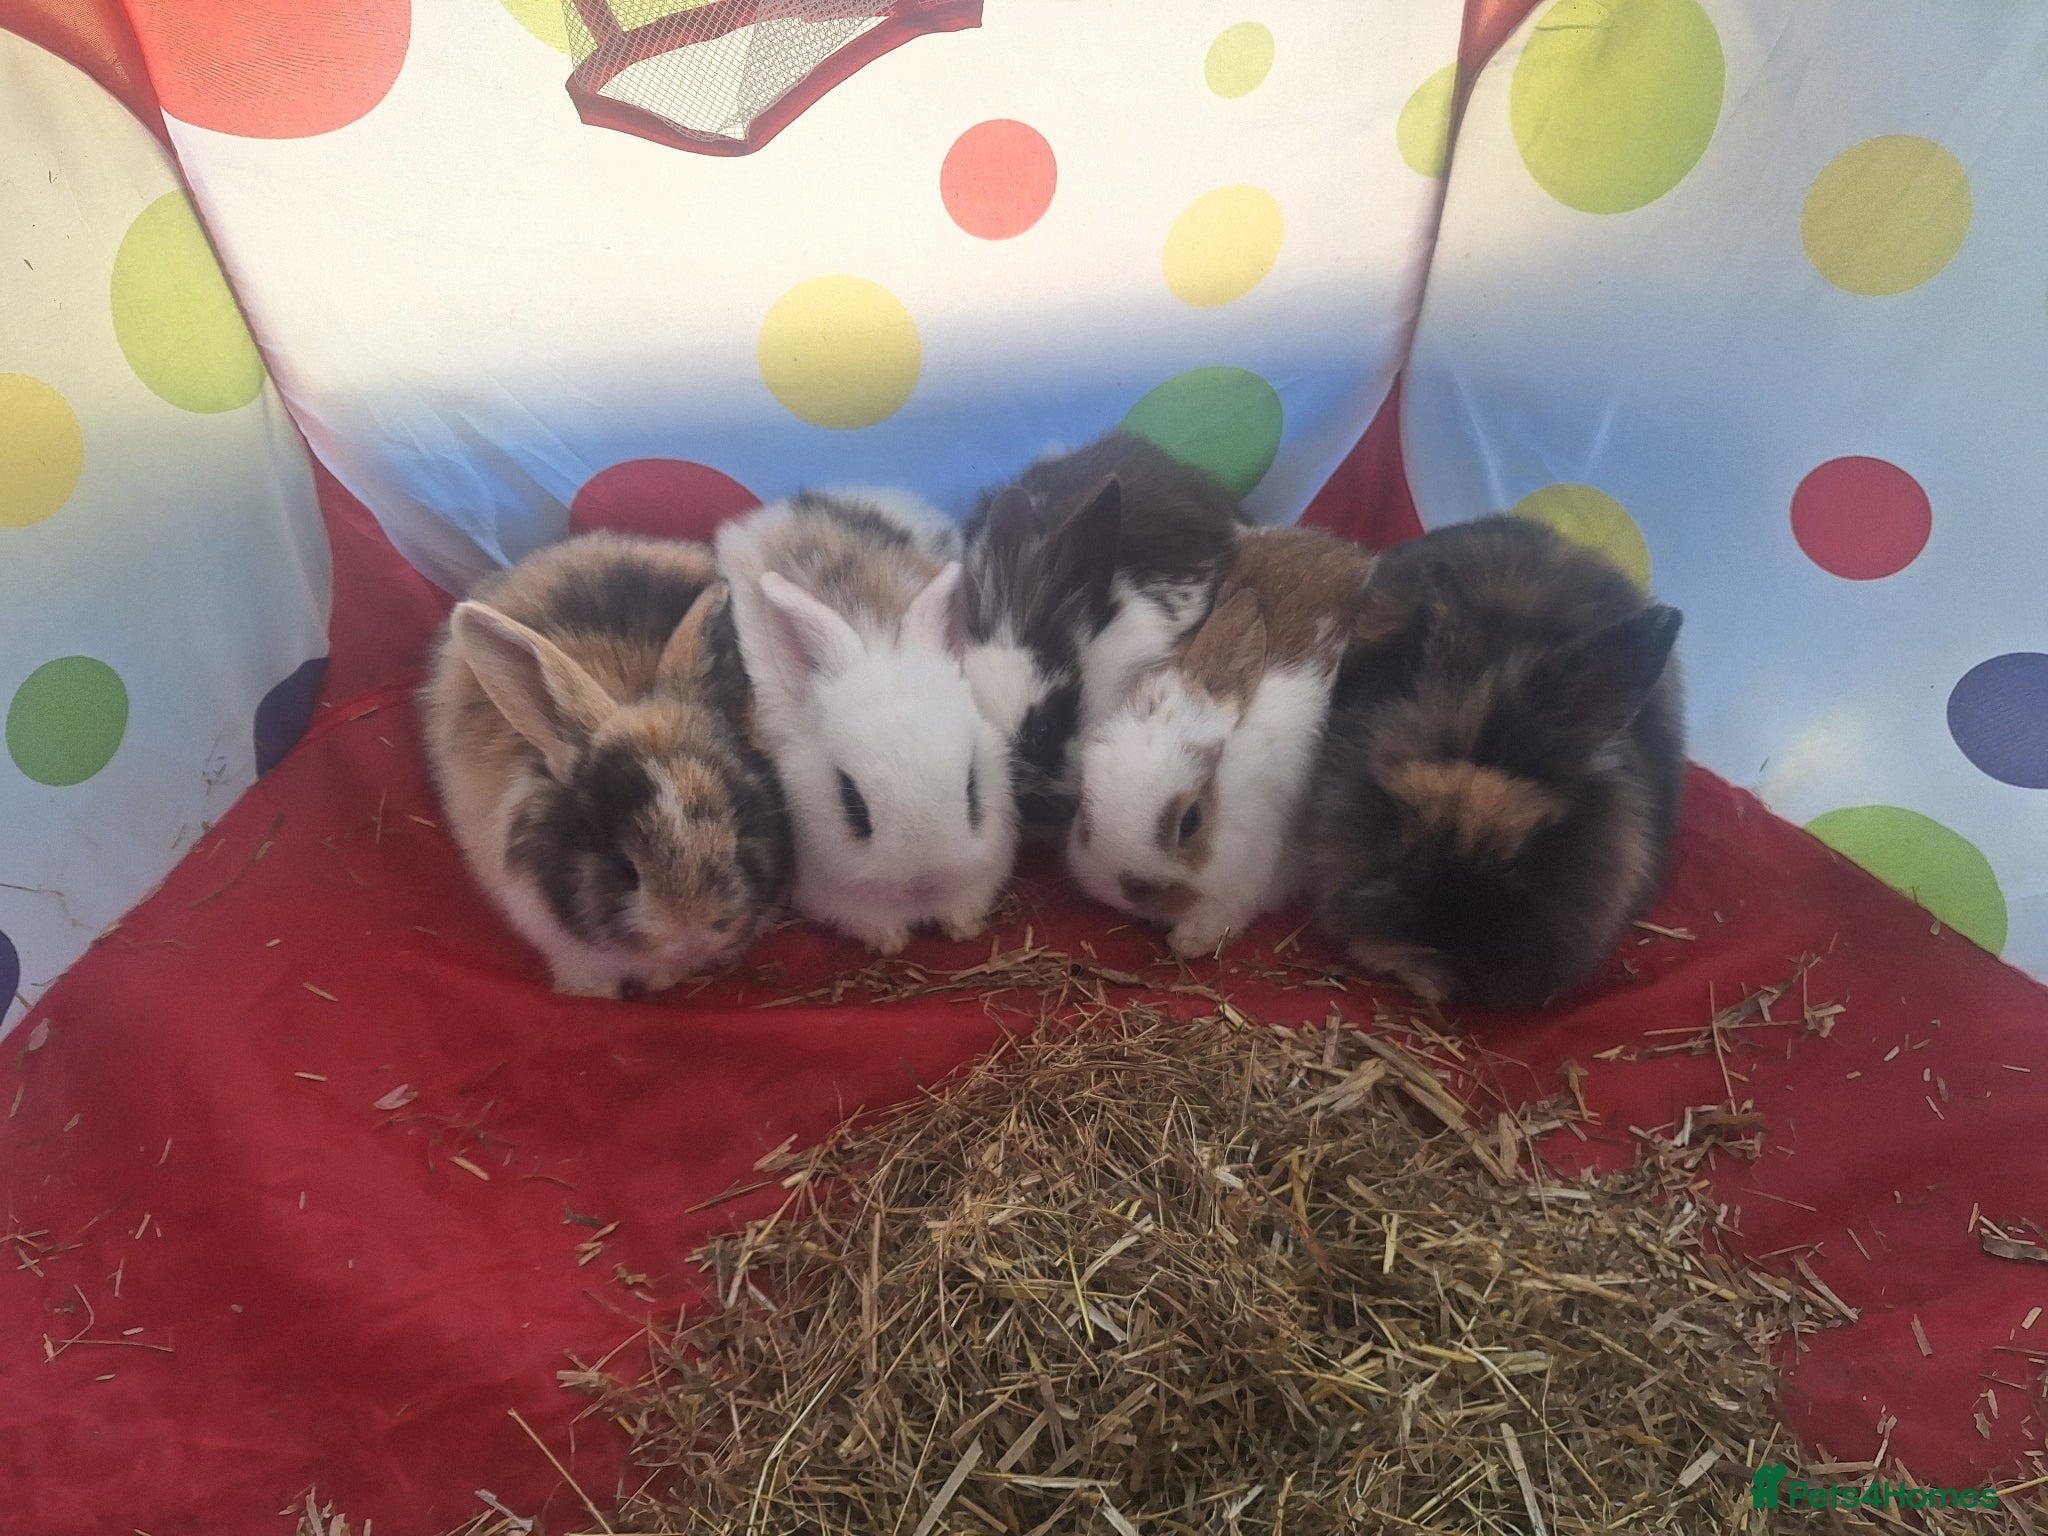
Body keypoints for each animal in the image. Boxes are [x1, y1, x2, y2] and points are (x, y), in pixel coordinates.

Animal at [715, 488, 1017, 955]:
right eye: (851, 802)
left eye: (971, 787)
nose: (924, 882)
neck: (876, 637)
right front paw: (892, 942)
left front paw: (963, 929)